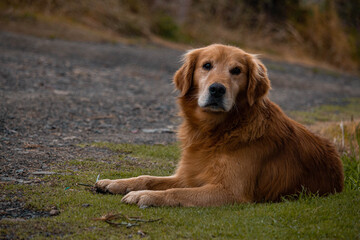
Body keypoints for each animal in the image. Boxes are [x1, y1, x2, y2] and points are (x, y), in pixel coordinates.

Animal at [94, 43, 344, 206]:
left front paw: (145, 195)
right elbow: (147, 178)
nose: (217, 89)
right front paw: (114, 183)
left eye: (236, 71)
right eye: (206, 65)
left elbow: (177, 193)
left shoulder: (231, 192)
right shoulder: (188, 176)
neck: (213, 132)